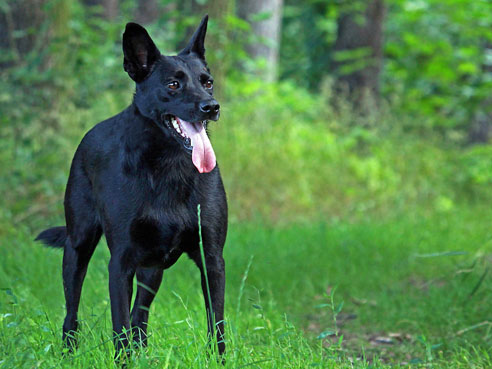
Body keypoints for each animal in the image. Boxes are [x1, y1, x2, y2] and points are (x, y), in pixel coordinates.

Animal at [35, 15, 228, 356]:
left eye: (207, 82)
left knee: (141, 314)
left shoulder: (212, 259)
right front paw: (124, 359)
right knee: (72, 311)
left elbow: (215, 325)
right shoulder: (121, 263)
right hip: (78, 246)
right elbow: (120, 327)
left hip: (152, 269)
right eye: (173, 84)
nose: (212, 107)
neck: (170, 168)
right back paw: (69, 352)